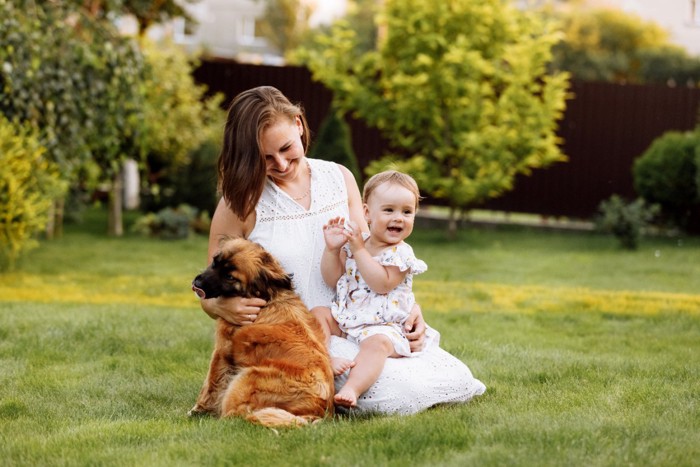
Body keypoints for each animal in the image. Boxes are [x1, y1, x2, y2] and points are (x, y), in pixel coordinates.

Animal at [187, 238, 334, 428]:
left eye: (230, 277)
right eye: (214, 262)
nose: (197, 284)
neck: (266, 297)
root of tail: (321, 411)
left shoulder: (222, 351)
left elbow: (211, 384)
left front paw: (199, 410)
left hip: (246, 378)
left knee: (236, 416)